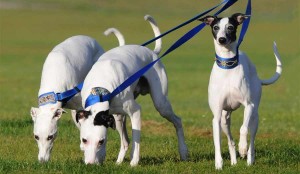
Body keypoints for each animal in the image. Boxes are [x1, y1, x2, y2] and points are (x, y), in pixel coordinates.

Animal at [74, 14, 188, 166]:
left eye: (101, 141)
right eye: (84, 140)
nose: (91, 164)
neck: (100, 91)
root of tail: (152, 52)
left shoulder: (135, 111)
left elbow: (136, 140)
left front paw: (134, 162)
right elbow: (127, 141)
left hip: (161, 104)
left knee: (177, 121)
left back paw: (183, 151)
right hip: (118, 117)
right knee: (125, 142)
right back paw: (119, 161)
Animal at [199, 13, 282, 169]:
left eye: (230, 27)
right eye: (215, 27)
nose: (221, 39)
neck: (228, 66)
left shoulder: (248, 106)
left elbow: (243, 128)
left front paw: (242, 148)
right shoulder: (217, 115)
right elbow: (217, 142)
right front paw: (219, 164)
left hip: (255, 117)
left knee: (252, 139)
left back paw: (249, 159)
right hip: (225, 119)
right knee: (230, 140)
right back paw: (233, 161)